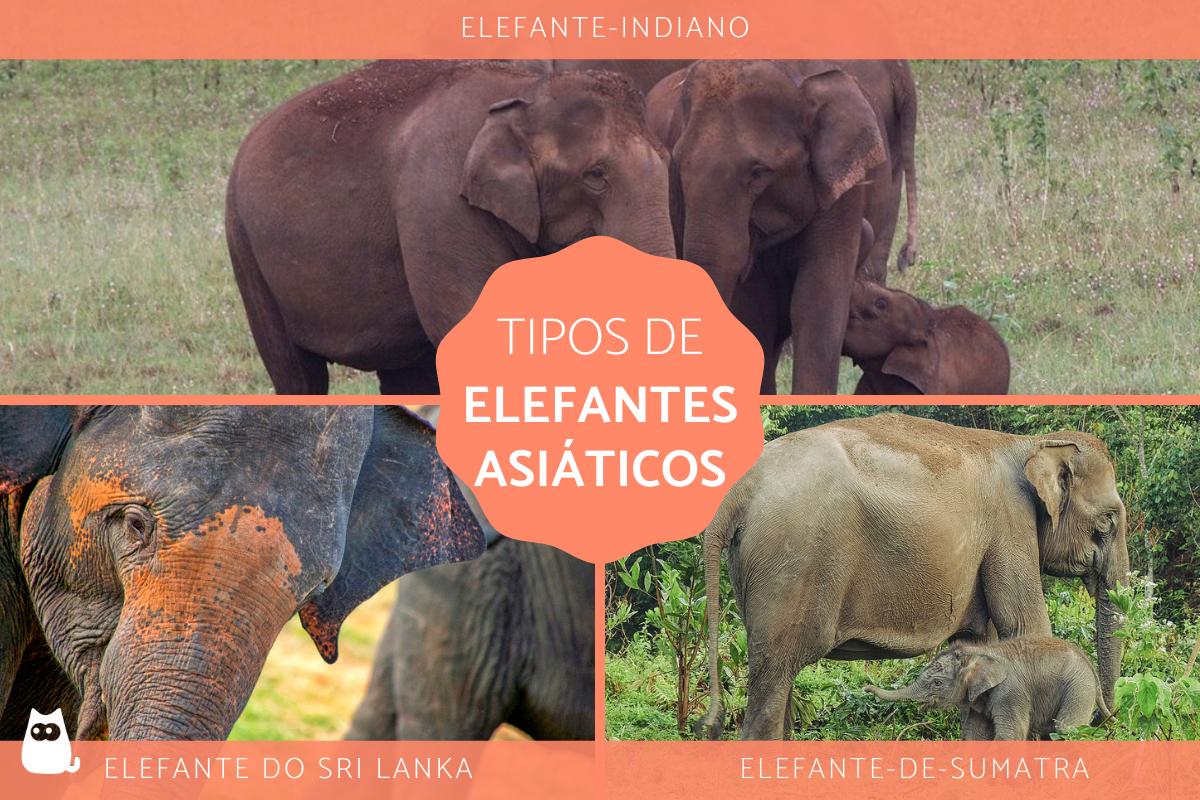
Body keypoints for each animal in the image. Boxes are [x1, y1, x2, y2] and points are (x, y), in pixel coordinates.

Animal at [227, 60, 676, 394]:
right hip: (244, 249)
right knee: (295, 371)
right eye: (595, 176)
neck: (528, 92)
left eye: (668, 159)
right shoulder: (439, 205)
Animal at [865, 637, 1112, 740]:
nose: (866, 688)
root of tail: (1090, 664)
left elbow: (1011, 733)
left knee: (1066, 729)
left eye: (937, 683)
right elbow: (975, 734)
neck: (977, 651)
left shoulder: (1010, 692)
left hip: (1079, 687)